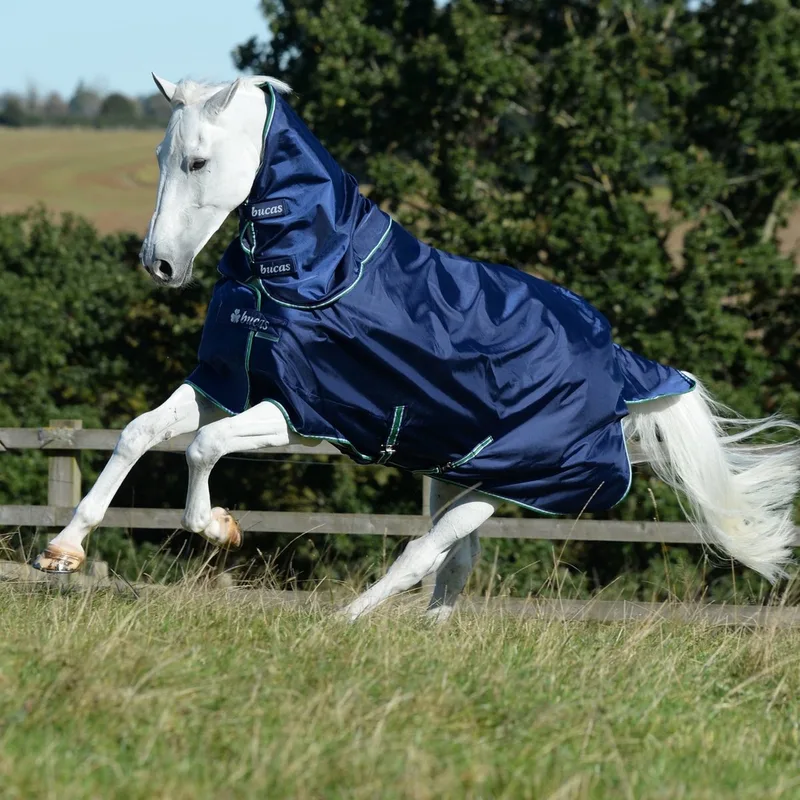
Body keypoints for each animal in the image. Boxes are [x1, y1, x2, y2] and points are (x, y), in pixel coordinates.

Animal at [33, 74, 800, 622]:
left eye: (197, 161)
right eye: (161, 156)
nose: (158, 264)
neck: (312, 269)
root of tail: (619, 370)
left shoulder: (301, 416)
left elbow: (201, 449)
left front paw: (221, 529)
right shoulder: (225, 382)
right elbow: (141, 432)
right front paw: (63, 551)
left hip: (506, 488)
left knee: (424, 556)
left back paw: (341, 623)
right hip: (454, 476)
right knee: (453, 568)